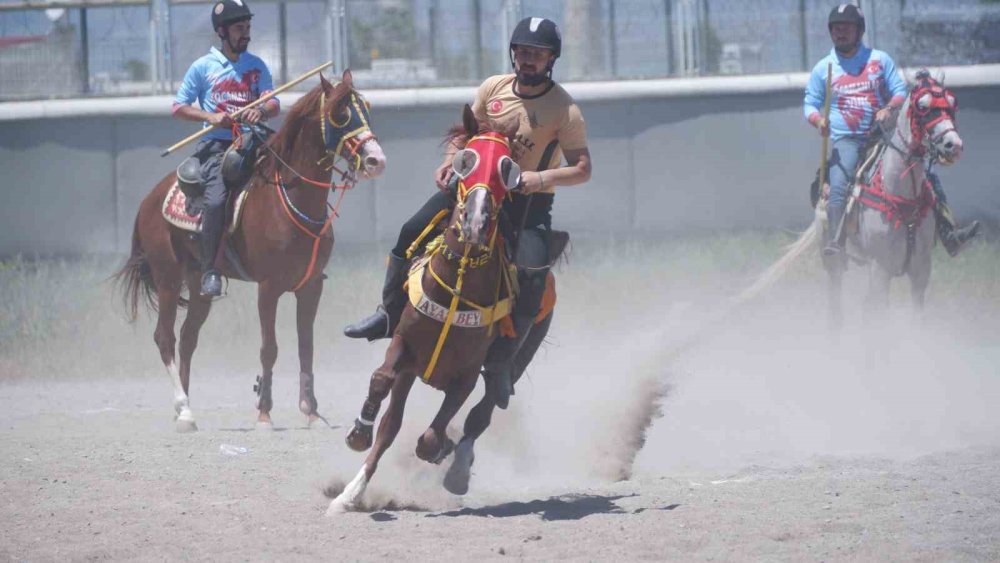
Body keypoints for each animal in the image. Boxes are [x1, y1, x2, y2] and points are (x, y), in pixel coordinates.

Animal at [115, 69, 384, 432]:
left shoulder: (311, 286)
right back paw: (183, 410)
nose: (376, 160)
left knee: (187, 338)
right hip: (167, 278)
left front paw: (311, 412)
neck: (289, 199)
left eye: (366, 108)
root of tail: (149, 200)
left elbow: (306, 347)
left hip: (199, 285)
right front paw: (264, 413)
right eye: (341, 114)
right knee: (165, 338)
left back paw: (186, 408)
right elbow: (269, 348)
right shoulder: (268, 288)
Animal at [328, 106, 520, 516]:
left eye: (508, 168)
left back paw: (456, 469)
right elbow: (381, 384)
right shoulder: (405, 345)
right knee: (391, 426)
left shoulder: (466, 375)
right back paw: (350, 492)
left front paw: (443, 450)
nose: (475, 222)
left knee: (481, 414)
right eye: (466, 160)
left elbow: (432, 437)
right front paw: (358, 434)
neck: (458, 289)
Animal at [744, 70, 960, 326]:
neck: (898, 193)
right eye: (923, 106)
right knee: (836, 296)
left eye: (952, 103)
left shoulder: (921, 269)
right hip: (832, 258)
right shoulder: (881, 267)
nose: (953, 145)